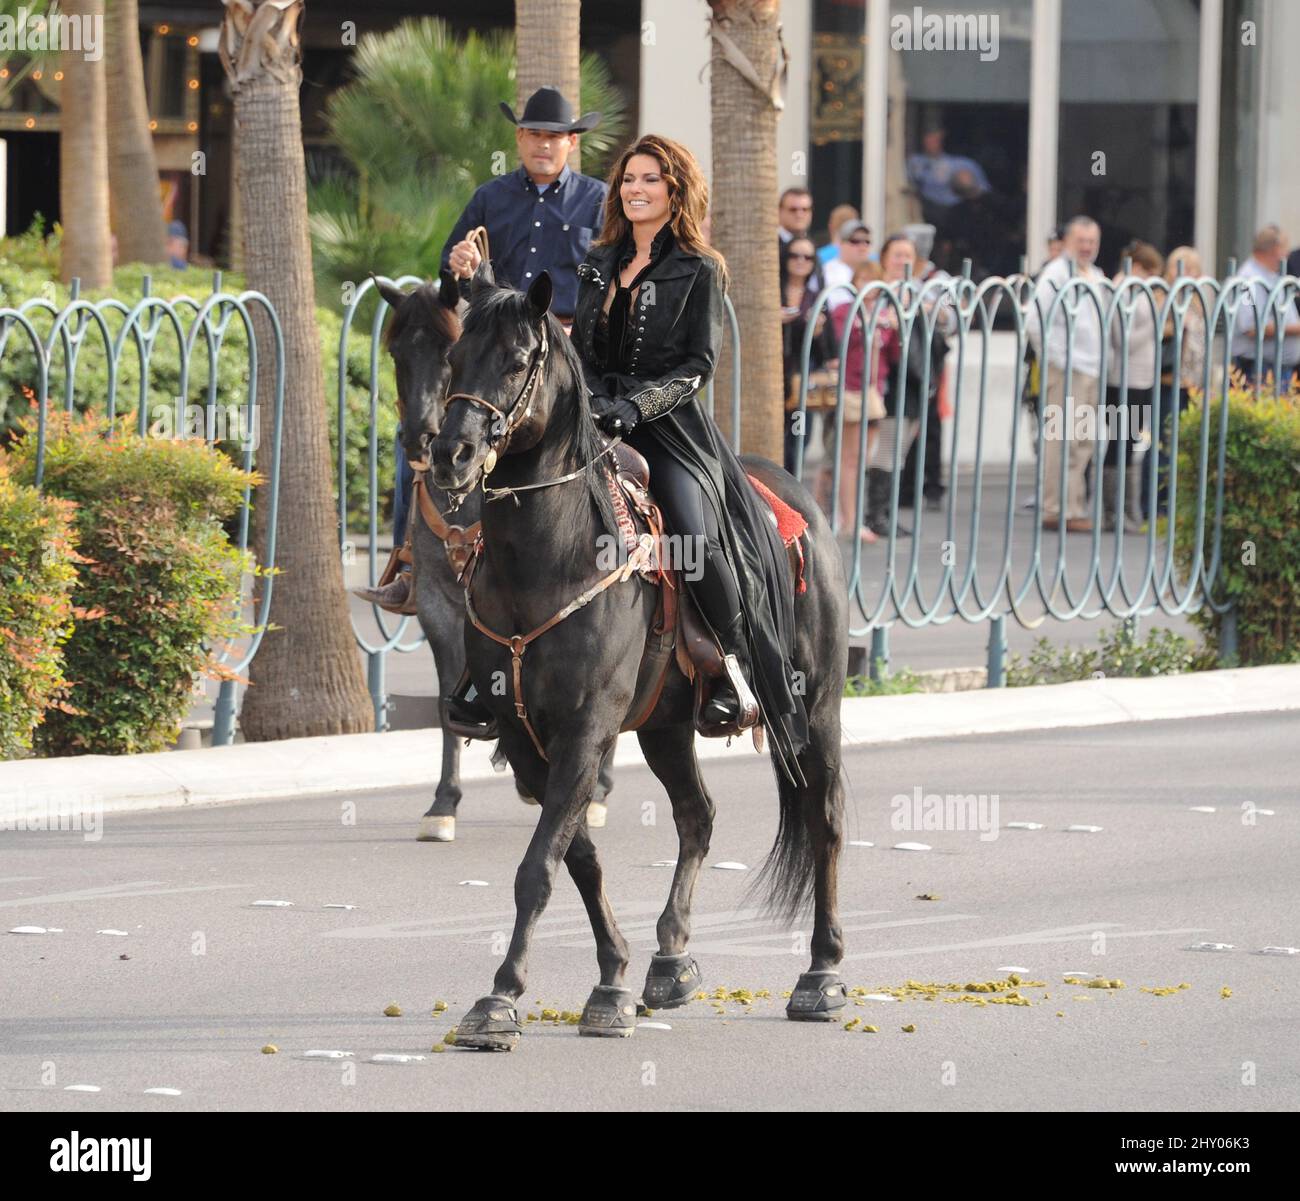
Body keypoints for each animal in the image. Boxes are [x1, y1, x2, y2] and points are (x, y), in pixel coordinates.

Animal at [366, 271, 608, 842]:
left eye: (444, 350)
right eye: (396, 354)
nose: (430, 444)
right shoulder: (439, 605)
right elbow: (445, 698)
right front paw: (443, 803)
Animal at [428, 267, 852, 1045]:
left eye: (516, 360)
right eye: (455, 358)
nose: (452, 455)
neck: (549, 557)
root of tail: (795, 495)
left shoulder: (587, 729)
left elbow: (539, 866)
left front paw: (500, 998)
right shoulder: (527, 736)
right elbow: (578, 860)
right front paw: (612, 979)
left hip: (816, 707)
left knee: (824, 815)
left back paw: (821, 974)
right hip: (665, 724)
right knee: (697, 815)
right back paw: (671, 959)